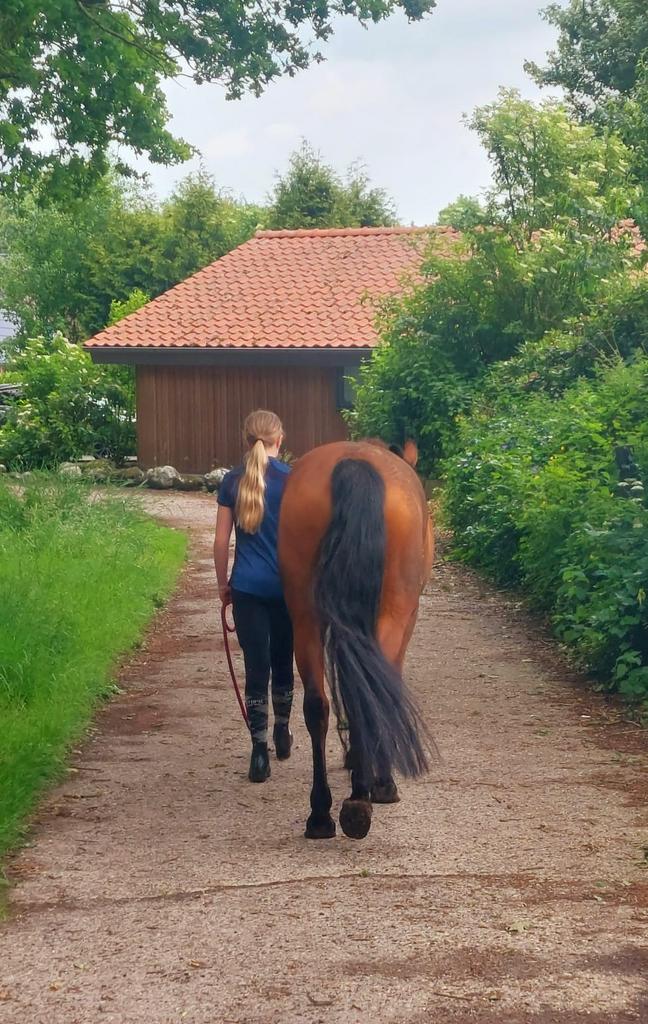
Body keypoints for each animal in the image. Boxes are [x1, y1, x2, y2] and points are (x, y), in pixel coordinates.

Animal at [278, 439, 434, 840]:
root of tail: (355, 464)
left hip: (305, 618)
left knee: (317, 705)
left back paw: (321, 814)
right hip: (393, 614)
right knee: (373, 693)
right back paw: (366, 796)